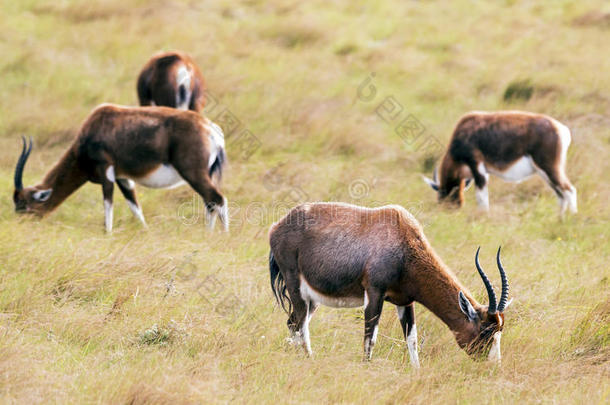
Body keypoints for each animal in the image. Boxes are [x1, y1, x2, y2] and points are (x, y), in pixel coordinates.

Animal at [12, 102, 228, 232]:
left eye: (23, 204)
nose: (19, 225)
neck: (97, 124)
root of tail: (211, 129)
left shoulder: (106, 171)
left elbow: (108, 202)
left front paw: (107, 233)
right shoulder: (123, 178)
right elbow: (135, 207)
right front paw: (146, 231)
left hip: (194, 174)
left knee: (217, 199)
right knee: (210, 202)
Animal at [268, 202, 510, 366]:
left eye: (500, 329)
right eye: (485, 331)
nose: (493, 365)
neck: (402, 236)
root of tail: (277, 227)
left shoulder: (405, 301)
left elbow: (412, 340)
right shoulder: (374, 293)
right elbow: (370, 338)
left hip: (313, 299)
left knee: (293, 323)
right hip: (296, 288)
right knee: (301, 325)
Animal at [422, 109, 576, 216]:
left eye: (442, 196)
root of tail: (560, 129)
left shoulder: (477, 168)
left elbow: (481, 198)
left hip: (549, 169)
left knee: (569, 190)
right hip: (545, 174)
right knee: (561, 195)